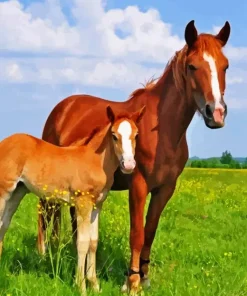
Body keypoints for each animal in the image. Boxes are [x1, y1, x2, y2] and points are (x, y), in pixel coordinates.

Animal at [37, 20, 231, 294]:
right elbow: (137, 233)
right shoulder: (138, 186)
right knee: (45, 212)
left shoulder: (164, 189)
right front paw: (132, 282)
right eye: (193, 66)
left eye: (225, 66)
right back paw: (45, 253)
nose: (216, 113)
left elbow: (150, 231)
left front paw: (145, 277)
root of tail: (63, 108)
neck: (161, 131)